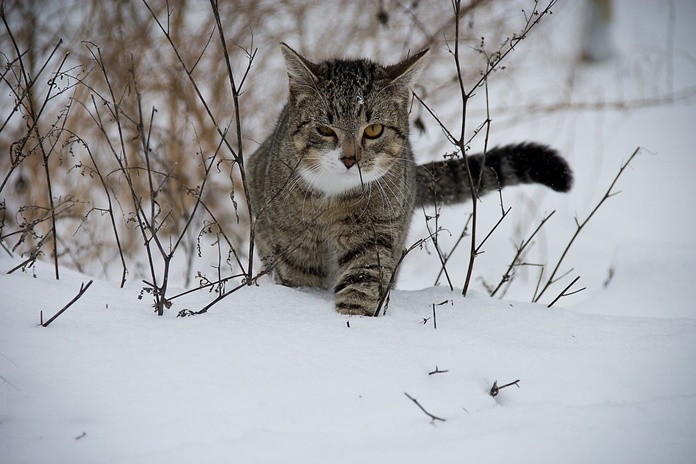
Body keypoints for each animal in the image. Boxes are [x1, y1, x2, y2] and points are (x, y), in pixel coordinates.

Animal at [247, 43, 572, 318]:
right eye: (325, 130)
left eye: (374, 130)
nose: (350, 160)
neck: (333, 197)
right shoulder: (294, 243)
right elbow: (300, 277)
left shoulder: (376, 231)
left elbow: (363, 279)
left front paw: (353, 321)